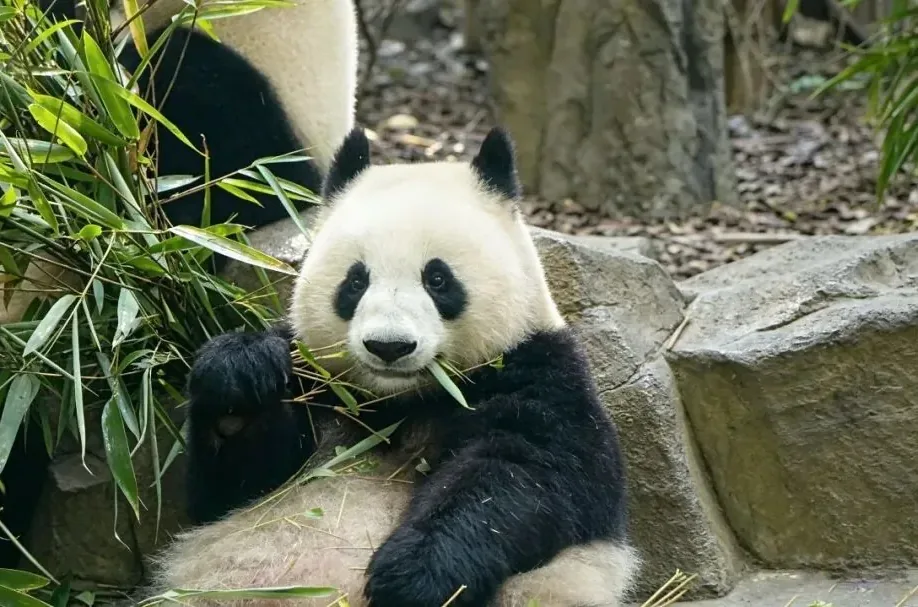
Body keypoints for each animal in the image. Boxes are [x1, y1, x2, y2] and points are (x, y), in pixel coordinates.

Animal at [138, 126, 639, 606]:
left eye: (437, 279)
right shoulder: (317, 383)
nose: (389, 346)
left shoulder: (541, 374)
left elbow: (521, 474)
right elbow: (227, 489)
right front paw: (239, 377)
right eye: (356, 281)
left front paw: (414, 574)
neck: (399, 401)